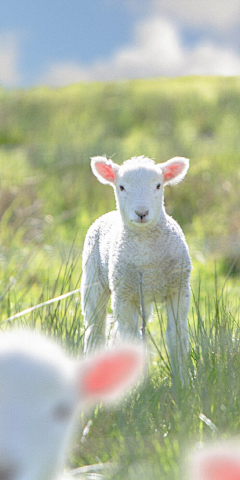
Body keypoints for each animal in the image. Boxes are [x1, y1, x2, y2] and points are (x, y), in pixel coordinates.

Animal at [81, 156, 192, 384]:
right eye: (122, 187)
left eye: (158, 185)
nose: (141, 213)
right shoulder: (123, 295)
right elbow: (130, 339)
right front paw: (137, 387)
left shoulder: (179, 289)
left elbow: (177, 336)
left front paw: (182, 382)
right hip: (93, 280)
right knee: (95, 328)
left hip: (143, 299)